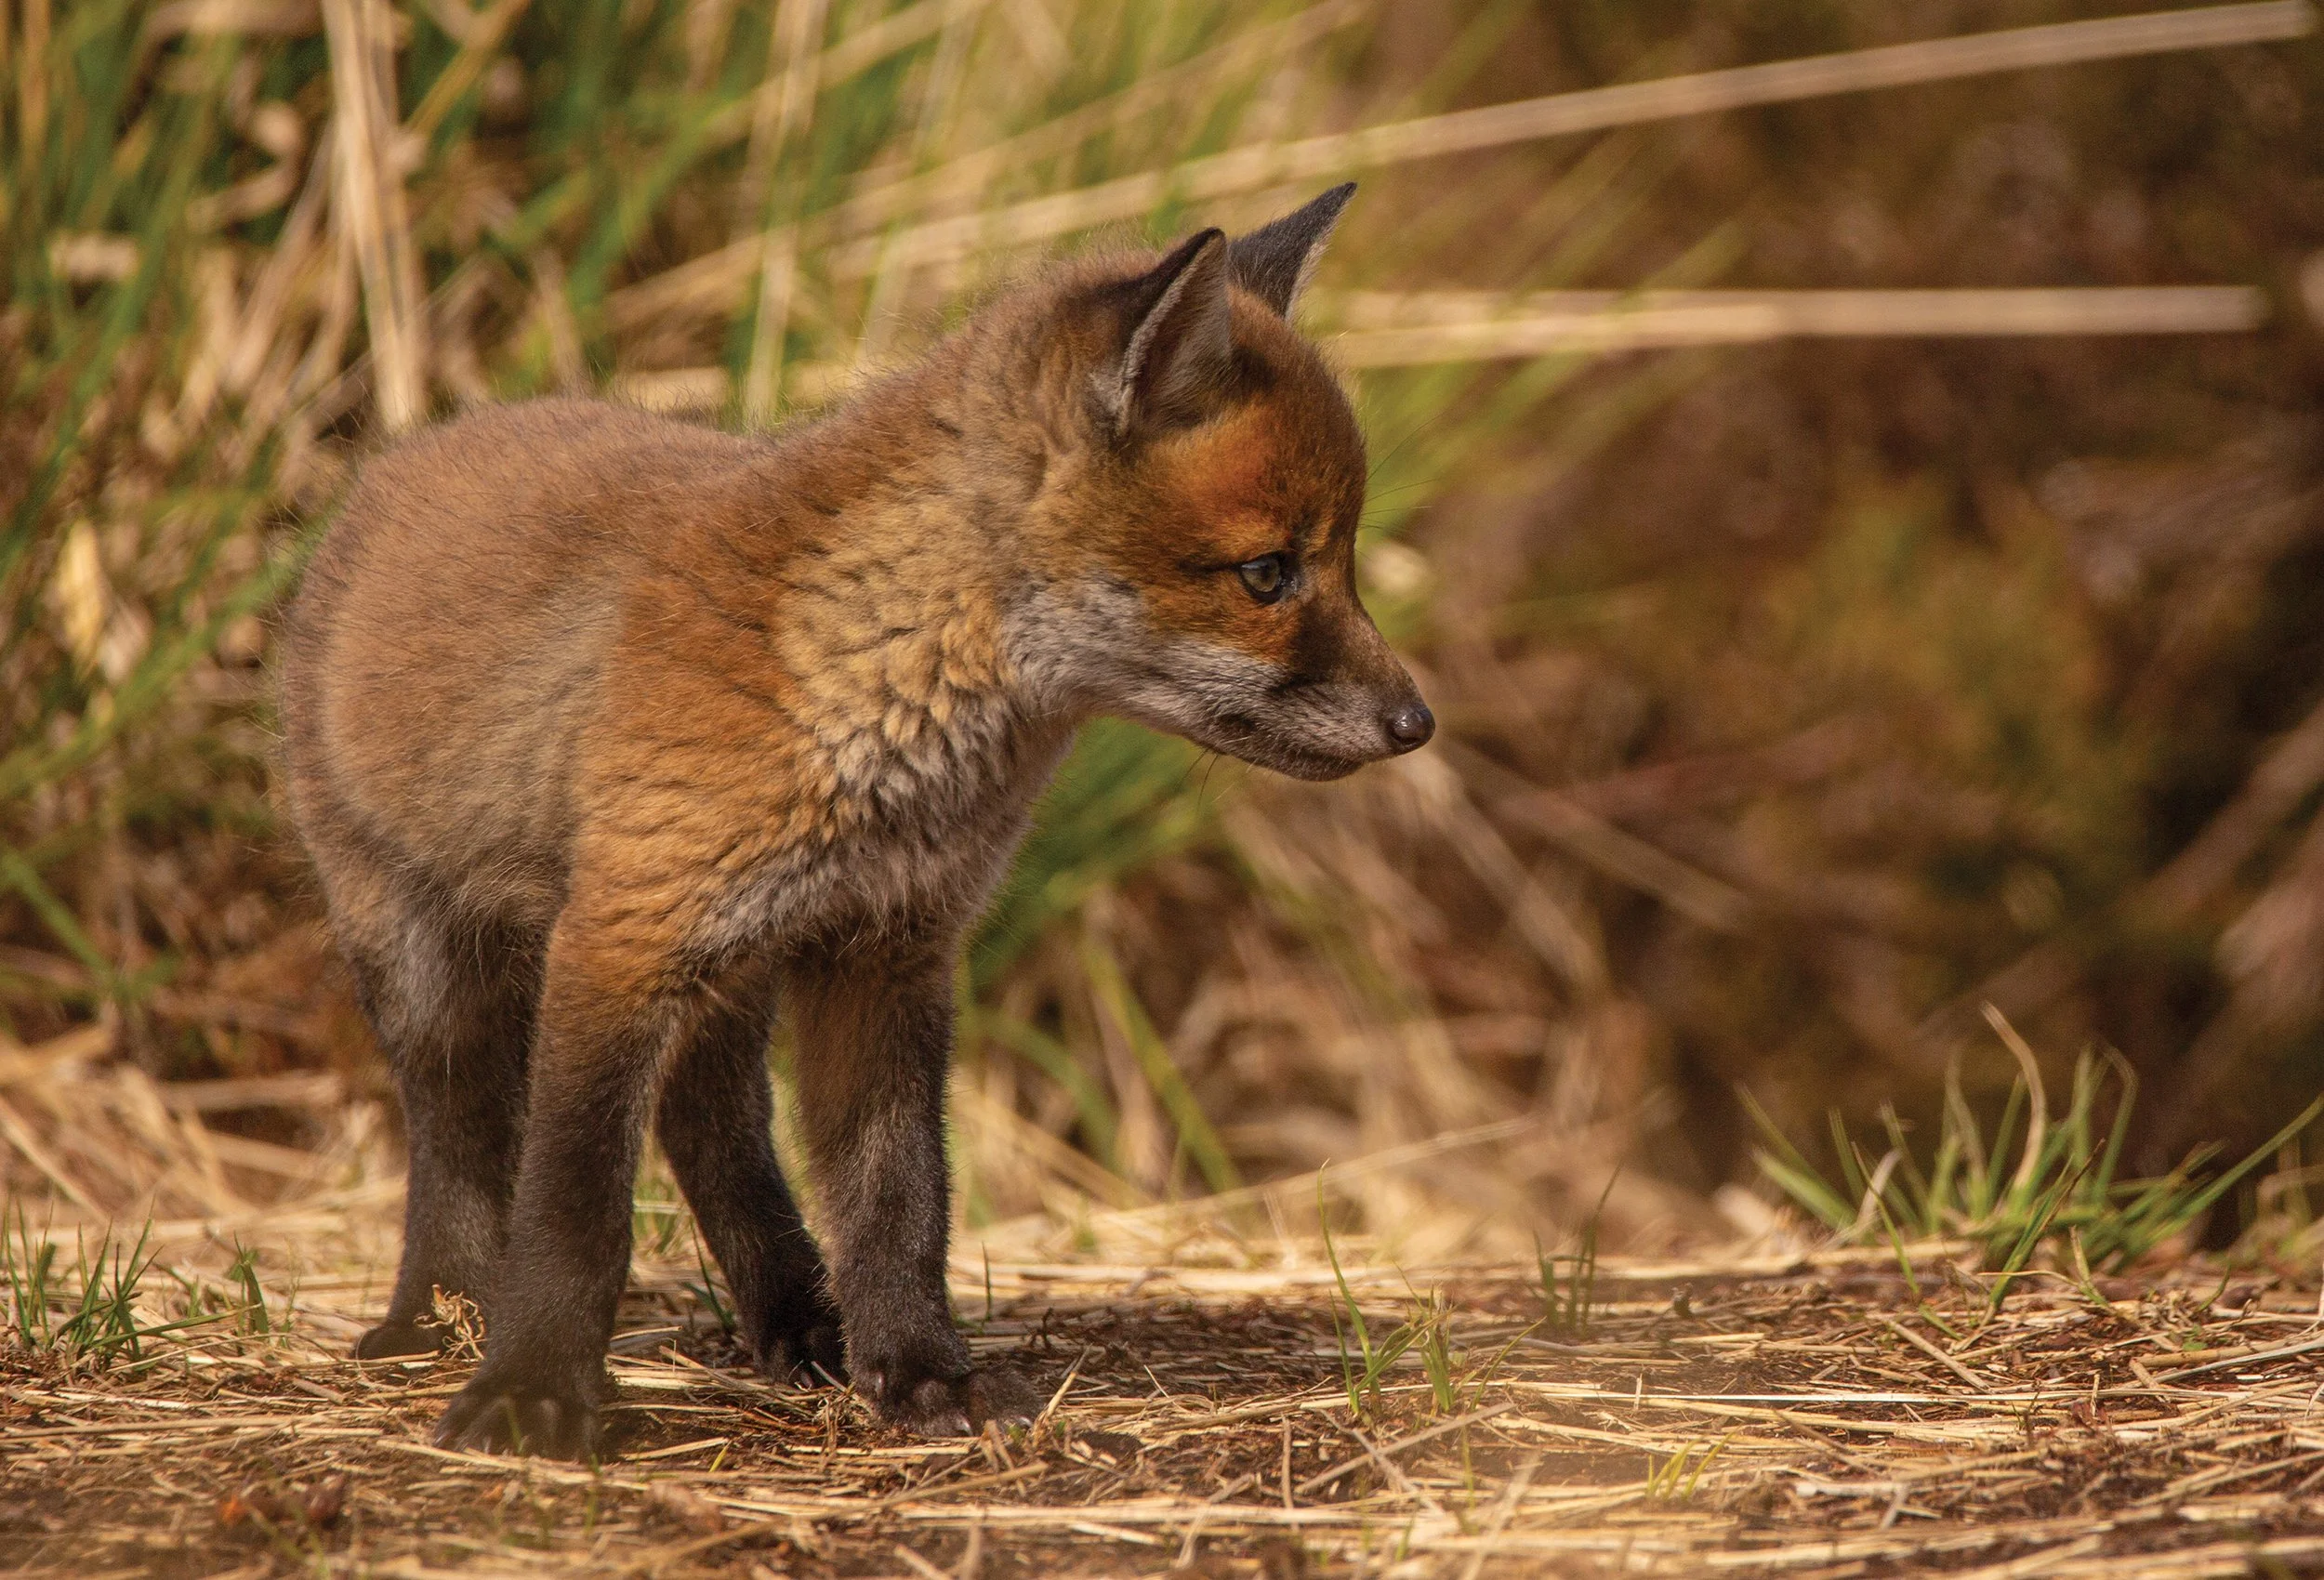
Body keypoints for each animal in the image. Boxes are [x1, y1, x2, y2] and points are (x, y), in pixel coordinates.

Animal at [277, 184, 1433, 1459]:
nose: (1416, 721)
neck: (889, 695)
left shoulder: (885, 948)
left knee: (712, 1125)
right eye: (1268, 573)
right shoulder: (623, 935)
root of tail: (412, 451)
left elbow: (899, 1197)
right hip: (427, 955)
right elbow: (576, 1208)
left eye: (1343, 564)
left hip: (728, 968)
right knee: (457, 1131)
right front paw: (533, 1386)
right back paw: (435, 1315)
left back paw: (794, 1318)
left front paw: (919, 1371)